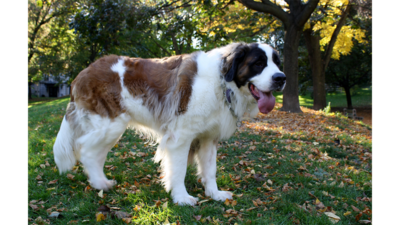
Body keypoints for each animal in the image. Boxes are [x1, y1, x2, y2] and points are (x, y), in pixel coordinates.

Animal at [54, 42, 284, 206]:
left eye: (277, 63)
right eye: (258, 63)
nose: (281, 78)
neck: (221, 82)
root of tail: (82, 73)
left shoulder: (209, 138)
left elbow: (210, 169)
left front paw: (214, 193)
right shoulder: (181, 137)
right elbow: (179, 170)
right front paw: (181, 198)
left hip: (110, 130)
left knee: (96, 154)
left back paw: (102, 182)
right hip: (110, 125)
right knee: (86, 151)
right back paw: (99, 183)